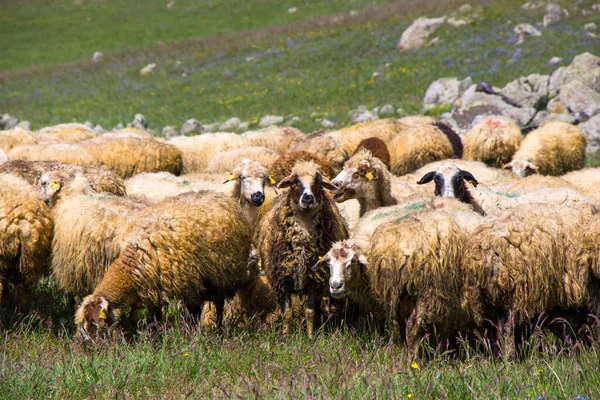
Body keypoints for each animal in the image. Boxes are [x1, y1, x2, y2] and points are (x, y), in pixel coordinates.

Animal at [75, 189, 255, 340]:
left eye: (93, 323)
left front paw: (192, 336)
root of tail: (220, 195)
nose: (83, 346)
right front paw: (156, 337)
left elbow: (193, 314)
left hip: (223, 276)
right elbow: (155, 316)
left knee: (219, 305)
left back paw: (218, 331)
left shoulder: (190, 285)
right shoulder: (153, 285)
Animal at [255, 159, 350, 338]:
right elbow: (287, 312)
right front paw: (285, 335)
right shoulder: (283, 279)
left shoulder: (314, 279)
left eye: (318, 181)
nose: (307, 199)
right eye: (295, 181)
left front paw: (310, 336)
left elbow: (310, 312)